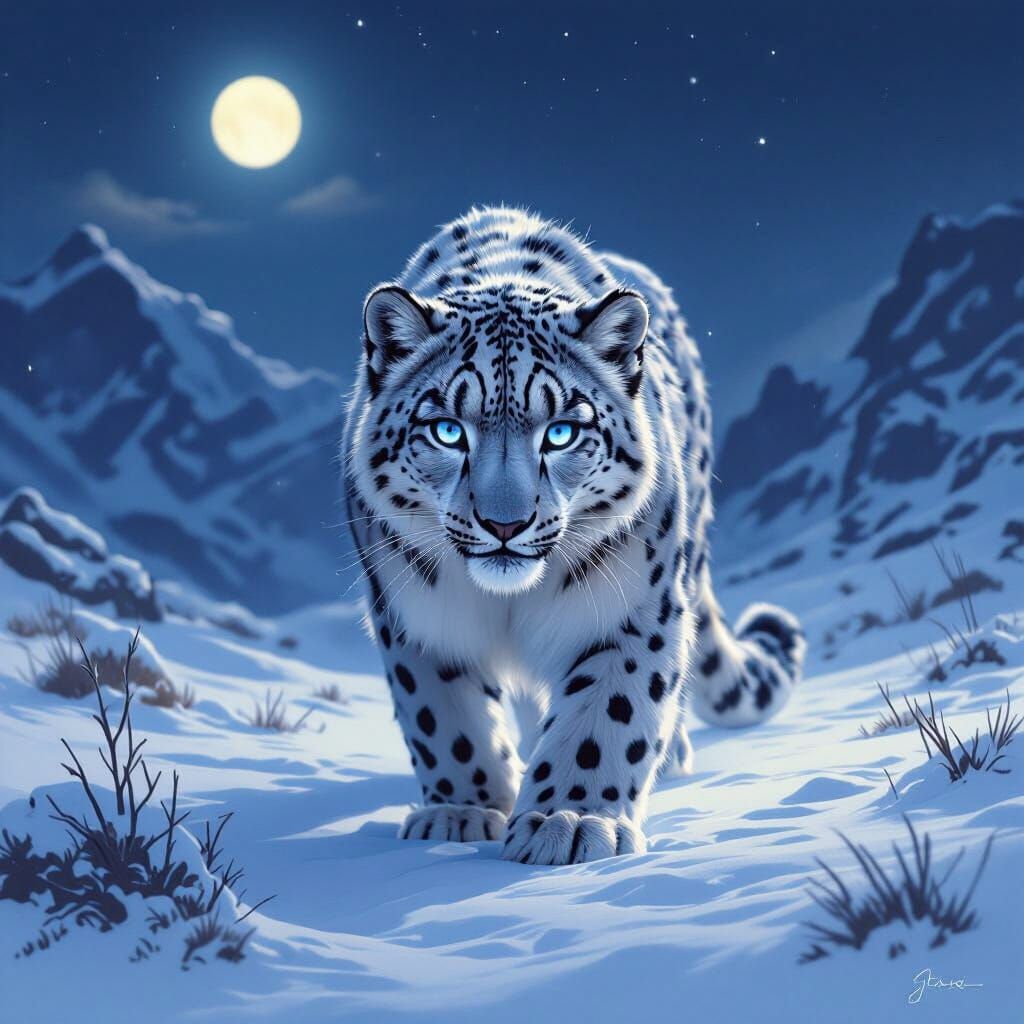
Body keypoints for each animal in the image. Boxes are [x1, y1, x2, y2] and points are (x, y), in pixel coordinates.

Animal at [341, 206, 805, 865]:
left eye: (561, 432)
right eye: (448, 430)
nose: (504, 523)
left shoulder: (630, 606)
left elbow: (608, 713)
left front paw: (568, 820)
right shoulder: (416, 616)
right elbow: (443, 717)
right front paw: (464, 810)